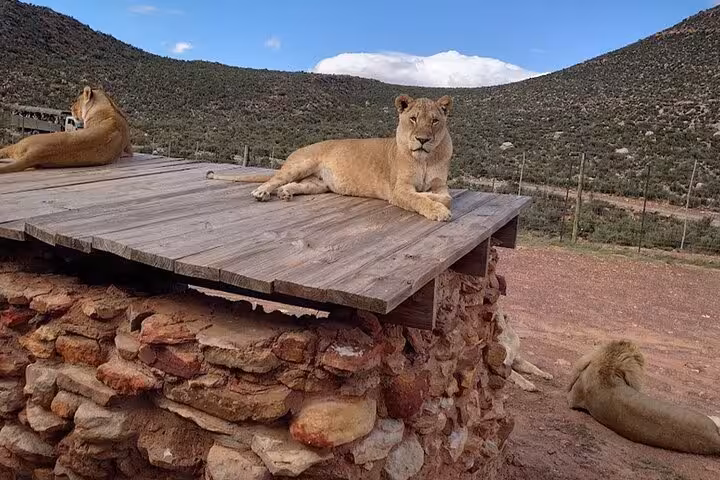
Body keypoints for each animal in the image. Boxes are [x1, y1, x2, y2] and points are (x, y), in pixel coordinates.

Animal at [0, 86, 132, 174]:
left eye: (77, 100)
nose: (70, 107)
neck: (110, 106)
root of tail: (35, 153)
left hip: (22, 142)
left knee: (4, 151)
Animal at [206, 94, 455, 221]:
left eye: (434, 121)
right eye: (413, 118)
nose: (422, 139)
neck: (425, 159)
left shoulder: (440, 185)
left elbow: (445, 196)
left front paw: (435, 199)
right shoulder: (398, 190)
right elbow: (418, 199)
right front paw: (437, 210)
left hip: (318, 184)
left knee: (294, 185)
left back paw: (285, 193)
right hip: (302, 164)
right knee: (275, 180)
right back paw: (262, 193)